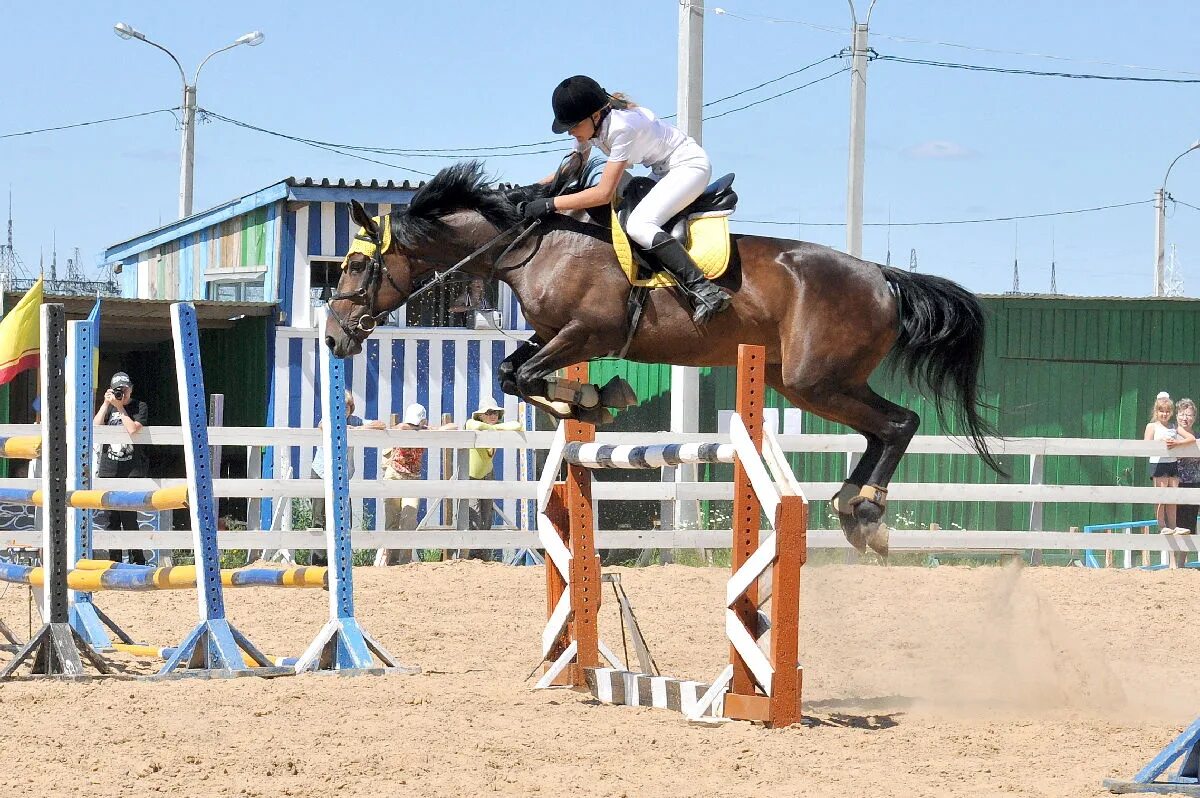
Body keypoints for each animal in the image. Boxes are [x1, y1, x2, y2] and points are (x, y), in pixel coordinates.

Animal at [324, 158, 998, 552]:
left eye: (355, 264)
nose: (333, 337)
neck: (532, 243)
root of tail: (883, 277)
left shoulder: (586, 332)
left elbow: (523, 375)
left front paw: (592, 396)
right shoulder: (554, 334)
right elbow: (512, 371)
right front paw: (590, 398)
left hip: (818, 381)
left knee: (900, 421)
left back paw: (867, 511)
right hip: (799, 383)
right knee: (881, 428)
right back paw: (851, 505)